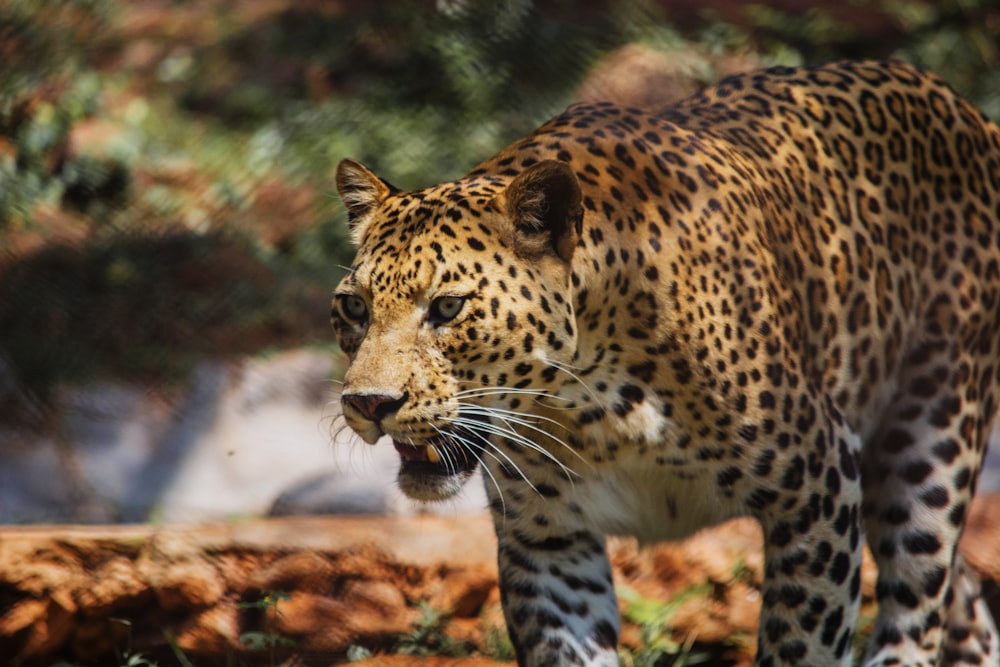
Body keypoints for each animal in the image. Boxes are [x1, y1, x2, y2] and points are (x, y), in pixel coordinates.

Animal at [330, 60, 1000, 664]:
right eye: (353, 308)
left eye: (447, 307)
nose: (368, 404)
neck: (590, 406)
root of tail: (962, 106)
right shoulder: (549, 538)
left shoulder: (820, 487)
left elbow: (803, 643)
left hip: (931, 434)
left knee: (918, 604)